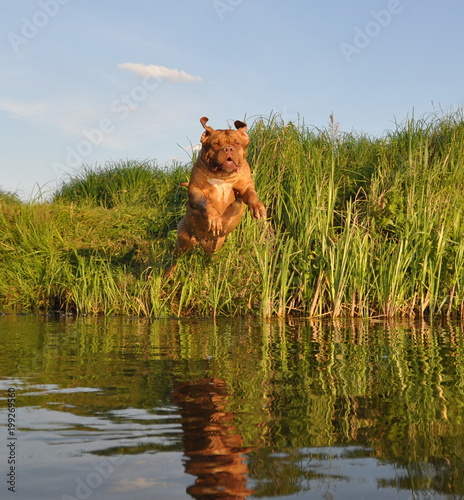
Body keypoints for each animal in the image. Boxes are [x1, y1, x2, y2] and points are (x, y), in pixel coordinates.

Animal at [177, 117, 266, 254]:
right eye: (215, 144)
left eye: (237, 143)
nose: (228, 148)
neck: (223, 176)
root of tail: (200, 240)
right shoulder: (195, 189)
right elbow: (205, 201)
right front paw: (214, 219)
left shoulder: (245, 187)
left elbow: (251, 195)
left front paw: (257, 207)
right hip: (182, 241)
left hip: (216, 245)